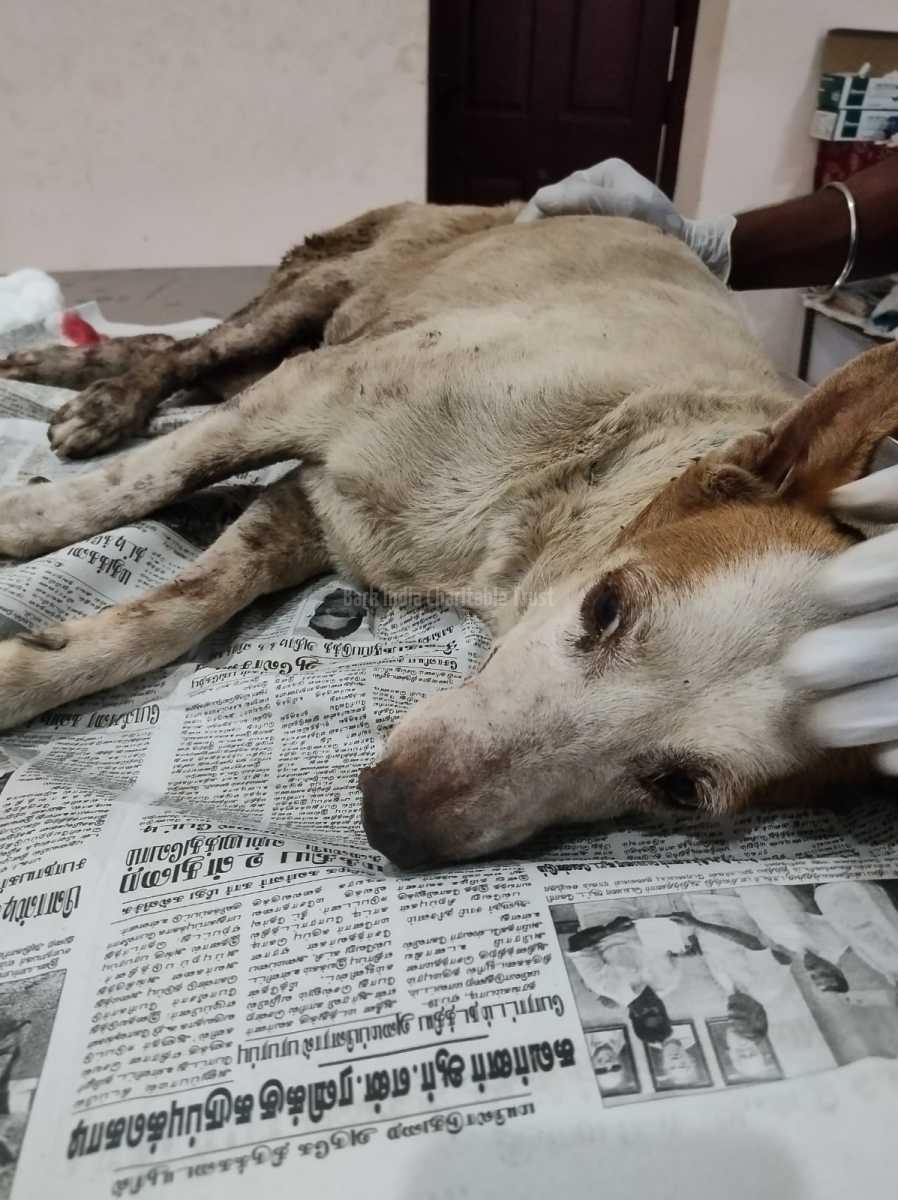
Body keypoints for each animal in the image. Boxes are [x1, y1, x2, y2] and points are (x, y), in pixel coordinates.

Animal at [0, 201, 894, 867]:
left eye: (679, 789)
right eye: (605, 608)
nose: (389, 819)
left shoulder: (316, 514)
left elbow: (179, 606)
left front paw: (38, 663)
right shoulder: (315, 394)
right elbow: (142, 485)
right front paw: (27, 523)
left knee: (178, 354)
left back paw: (74, 376)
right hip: (321, 293)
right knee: (193, 349)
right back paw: (94, 398)